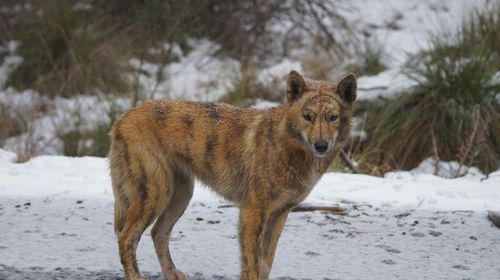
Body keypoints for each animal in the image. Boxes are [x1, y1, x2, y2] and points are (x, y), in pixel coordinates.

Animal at [108, 69, 358, 278]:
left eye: (332, 117)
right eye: (308, 116)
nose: (321, 145)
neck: (286, 147)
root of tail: (122, 119)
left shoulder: (280, 214)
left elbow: (266, 264)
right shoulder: (252, 212)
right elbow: (252, 266)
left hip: (180, 196)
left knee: (157, 234)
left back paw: (172, 274)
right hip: (156, 196)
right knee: (126, 238)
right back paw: (136, 276)